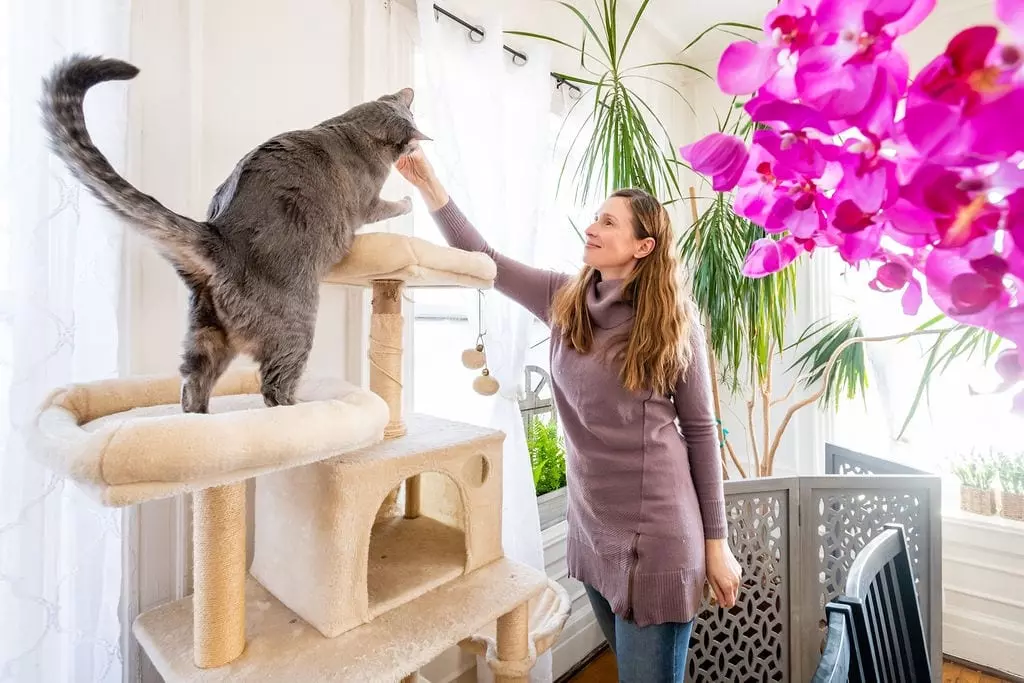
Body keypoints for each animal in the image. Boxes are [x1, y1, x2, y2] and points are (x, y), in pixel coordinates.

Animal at [41, 54, 425, 411]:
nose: (417, 149)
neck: (351, 126)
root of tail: (218, 233)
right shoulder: (368, 204)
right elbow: (389, 207)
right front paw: (408, 200)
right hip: (297, 324)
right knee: (274, 387)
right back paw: (302, 409)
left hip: (206, 331)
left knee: (192, 384)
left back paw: (201, 420)